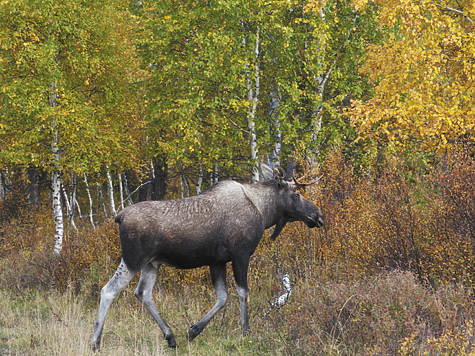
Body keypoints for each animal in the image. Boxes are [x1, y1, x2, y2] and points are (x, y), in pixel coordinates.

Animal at [90, 165, 324, 350]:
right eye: (295, 194)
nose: (318, 215)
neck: (264, 212)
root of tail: (118, 217)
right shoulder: (240, 254)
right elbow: (242, 293)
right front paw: (246, 331)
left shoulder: (217, 261)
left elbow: (223, 297)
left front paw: (193, 330)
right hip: (133, 259)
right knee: (109, 290)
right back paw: (95, 343)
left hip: (152, 263)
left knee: (143, 293)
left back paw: (170, 336)